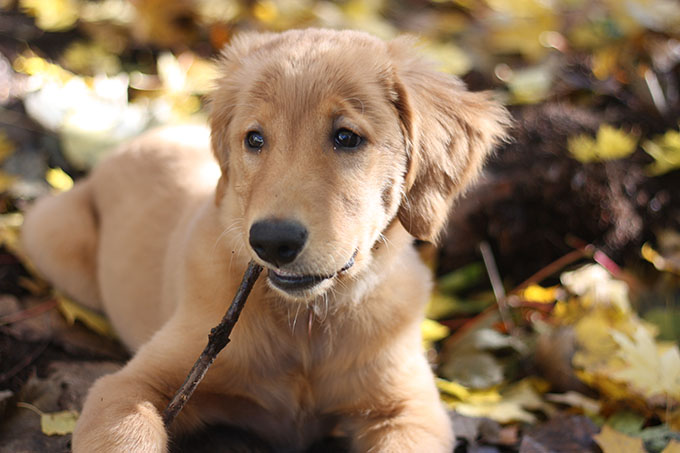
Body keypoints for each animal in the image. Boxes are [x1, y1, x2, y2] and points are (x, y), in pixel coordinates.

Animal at [21, 29, 508, 452]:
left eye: (346, 137)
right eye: (255, 139)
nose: (272, 242)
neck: (307, 323)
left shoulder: (408, 408)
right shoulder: (126, 385)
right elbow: (126, 431)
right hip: (53, 236)